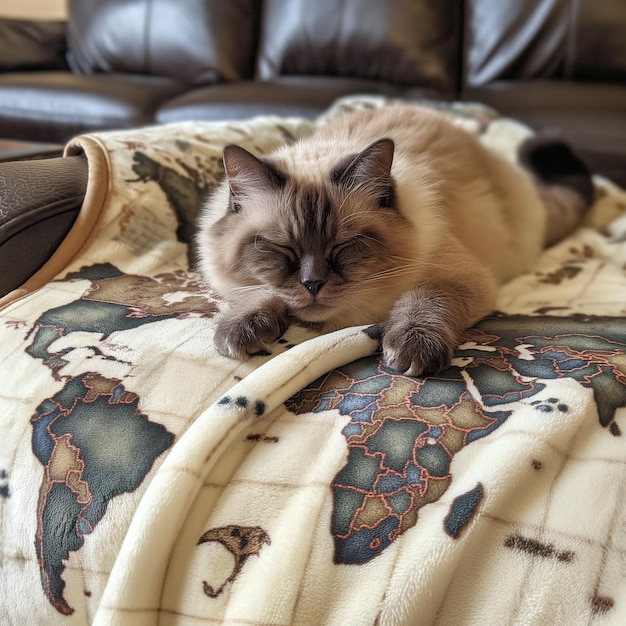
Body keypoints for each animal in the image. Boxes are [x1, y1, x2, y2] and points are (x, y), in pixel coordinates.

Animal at [195, 104, 588, 372]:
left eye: (343, 246)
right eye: (282, 248)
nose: (313, 284)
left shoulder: (457, 276)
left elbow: (423, 301)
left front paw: (410, 351)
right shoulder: (239, 284)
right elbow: (257, 292)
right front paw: (241, 331)